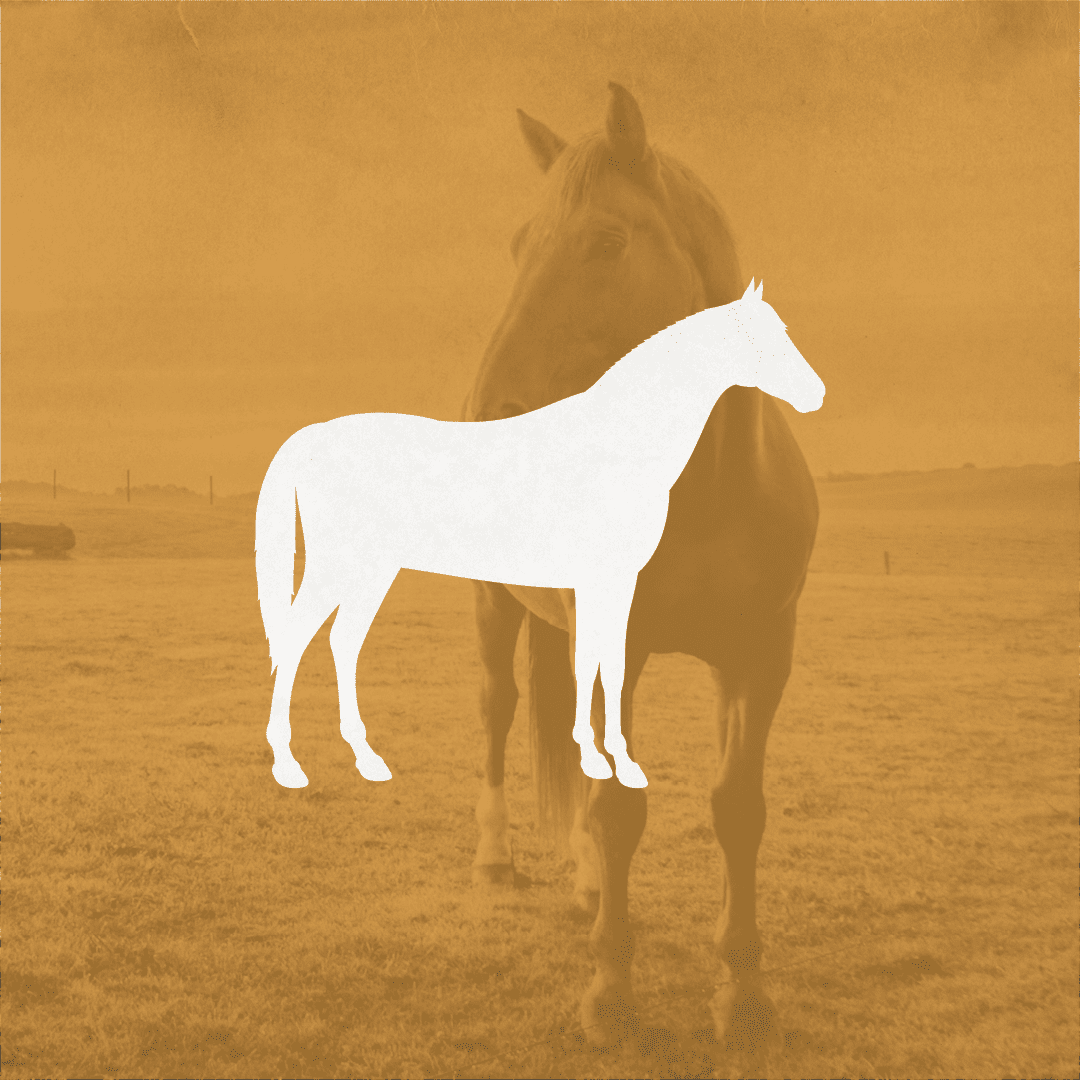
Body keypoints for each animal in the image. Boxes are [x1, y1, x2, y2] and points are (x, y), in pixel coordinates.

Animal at [255, 282, 823, 800]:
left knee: (342, 642)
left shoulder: (616, 585)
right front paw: (600, 760)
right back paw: (289, 765)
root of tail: (312, 437)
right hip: (341, 568)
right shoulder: (596, 584)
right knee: (295, 638)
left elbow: (608, 666)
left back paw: (367, 759)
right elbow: (593, 665)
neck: (616, 446)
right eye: (767, 337)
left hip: (374, 572)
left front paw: (615, 762)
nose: (816, 393)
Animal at [461, 84, 822, 1049]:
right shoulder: (616, 648)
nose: (483, 413)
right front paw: (611, 994)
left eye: (607, 242)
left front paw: (742, 989)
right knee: (500, 715)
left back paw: (589, 888)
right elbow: (621, 810)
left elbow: (737, 808)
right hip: (497, 611)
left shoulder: (759, 657)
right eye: (517, 245)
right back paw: (496, 859)